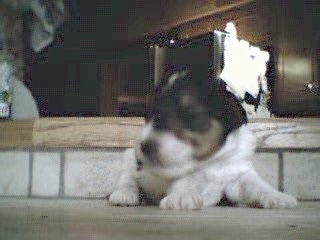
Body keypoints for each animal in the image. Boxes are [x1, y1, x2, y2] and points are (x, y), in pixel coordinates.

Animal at [108, 66, 298, 210]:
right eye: (149, 115)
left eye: (191, 116)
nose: (145, 146)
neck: (211, 162)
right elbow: (184, 179)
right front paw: (182, 196)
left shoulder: (237, 172)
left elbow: (257, 183)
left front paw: (278, 197)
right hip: (130, 156)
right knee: (128, 178)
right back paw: (124, 195)